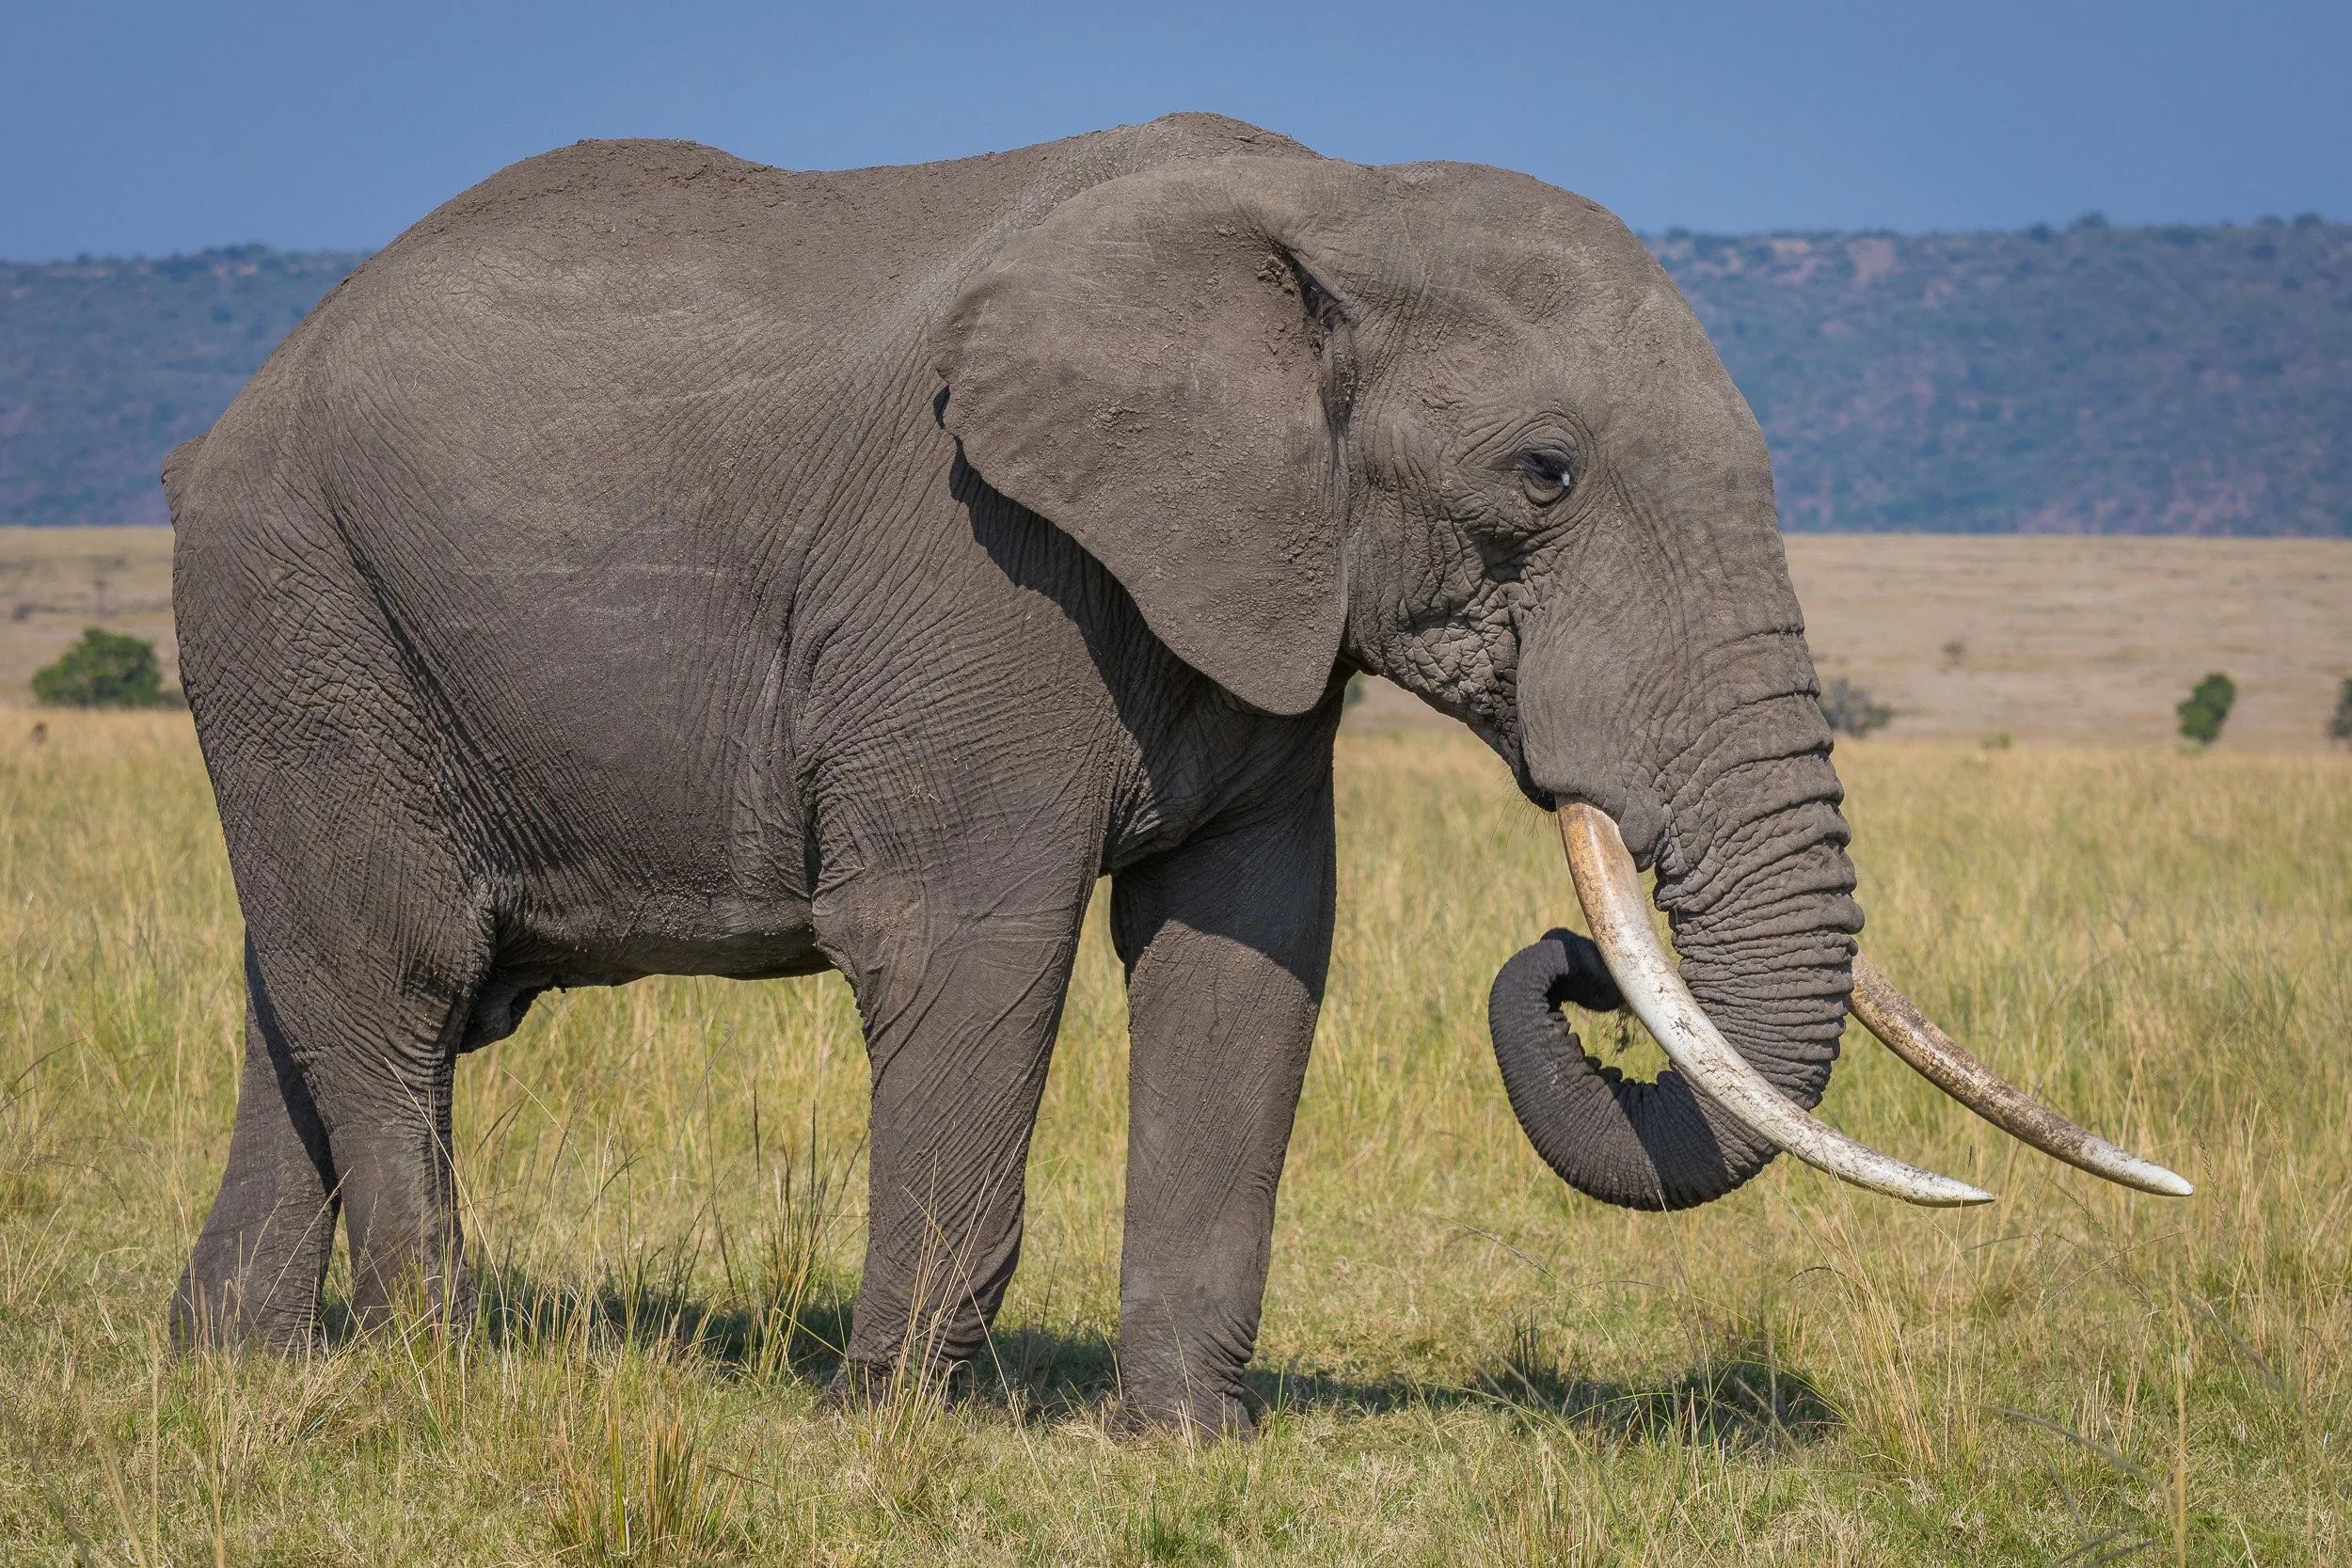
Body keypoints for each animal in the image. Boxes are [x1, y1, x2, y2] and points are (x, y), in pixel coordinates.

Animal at [163, 112, 2185, 1436]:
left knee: (323, 997)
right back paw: (442, 1369)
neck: (1336, 204)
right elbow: (967, 946)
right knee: (394, 980)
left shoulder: (1260, 587)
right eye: (1540, 476)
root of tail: (241, 401)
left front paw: (1186, 1446)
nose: (1575, 961)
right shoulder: (976, 567)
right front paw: (883, 1433)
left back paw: (232, 1364)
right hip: (295, 607)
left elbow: (1248, 953)